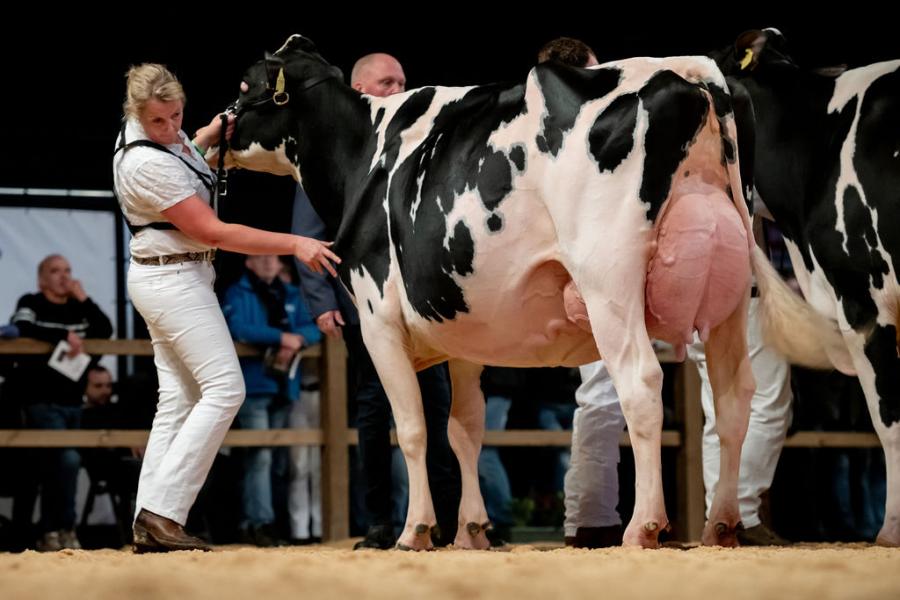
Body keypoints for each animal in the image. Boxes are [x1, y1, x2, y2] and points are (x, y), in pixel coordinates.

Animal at [221, 34, 820, 548]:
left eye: (247, 84)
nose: (211, 131)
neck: (361, 155)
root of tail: (689, 71)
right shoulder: (464, 332)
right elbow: (464, 429)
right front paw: (470, 531)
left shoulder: (377, 320)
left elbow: (412, 429)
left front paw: (415, 531)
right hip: (730, 290)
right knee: (734, 396)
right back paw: (722, 525)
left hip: (609, 281)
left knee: (642, 384)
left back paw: (644, 526)